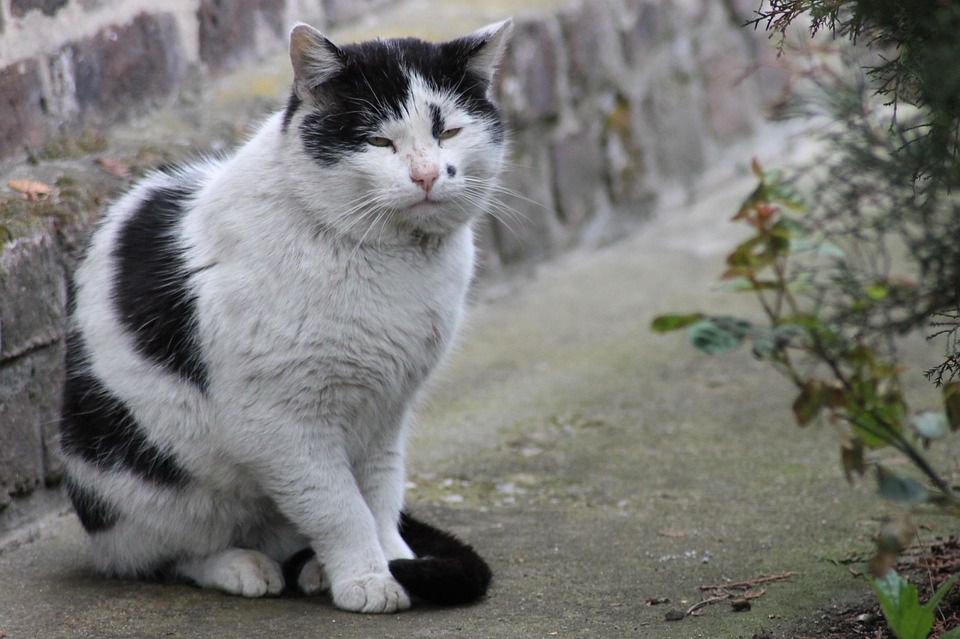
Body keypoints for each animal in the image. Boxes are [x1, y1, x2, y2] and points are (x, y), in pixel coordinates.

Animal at [57, 17, 512, 612]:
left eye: (449, 133)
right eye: (378, 141)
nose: (427, 175)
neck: (398, 261)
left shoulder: (387, 415)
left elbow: (380, 496)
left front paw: (397, 560)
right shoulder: (281, 424)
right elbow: (339, 507)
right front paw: (368, 578)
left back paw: (314, 568)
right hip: (143, 488)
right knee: (157, 557)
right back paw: (242, 566)